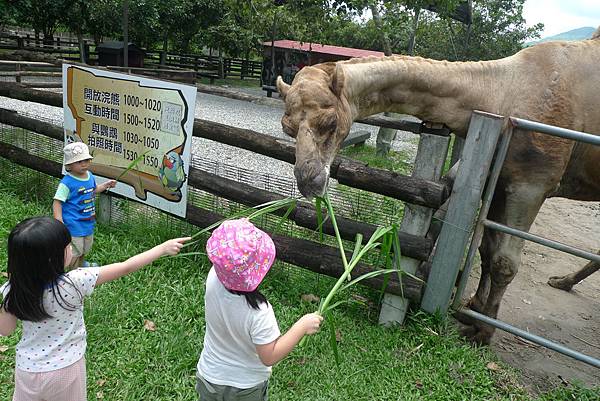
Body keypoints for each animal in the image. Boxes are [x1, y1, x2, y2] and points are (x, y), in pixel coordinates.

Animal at [276, 27, 600, 344]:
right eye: (287, 129)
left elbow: (504, 261)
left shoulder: (532, 183)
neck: (501, 95)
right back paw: (562, 282)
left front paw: (482, 333)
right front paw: (472, 310)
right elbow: (486, 249)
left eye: (330, 122)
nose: (309, 180)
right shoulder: (501, 178)